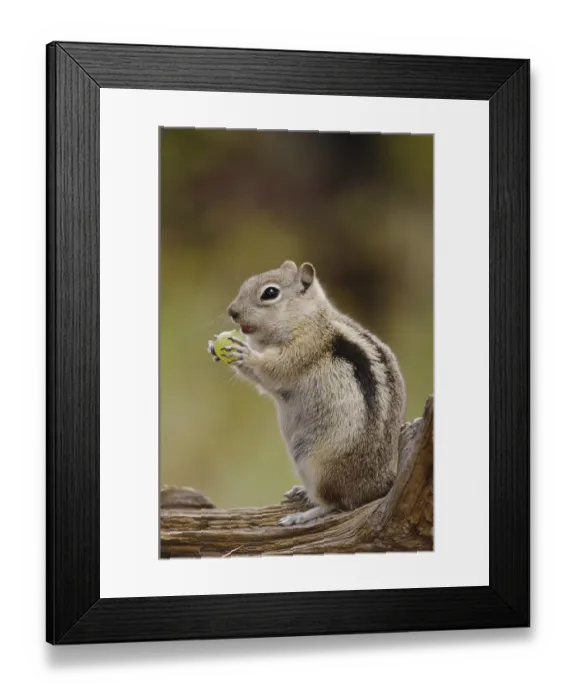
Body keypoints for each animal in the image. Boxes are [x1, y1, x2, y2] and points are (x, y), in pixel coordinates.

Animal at [207, 260, 407, 527]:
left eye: (270, 293)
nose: (232, 312)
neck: (307, 317)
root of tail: (378, 484)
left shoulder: (304, 347)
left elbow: (275, 368)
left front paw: (246, 354)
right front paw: (215, 347)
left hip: (317, 465)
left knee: (336, 504)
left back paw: (301, 515)